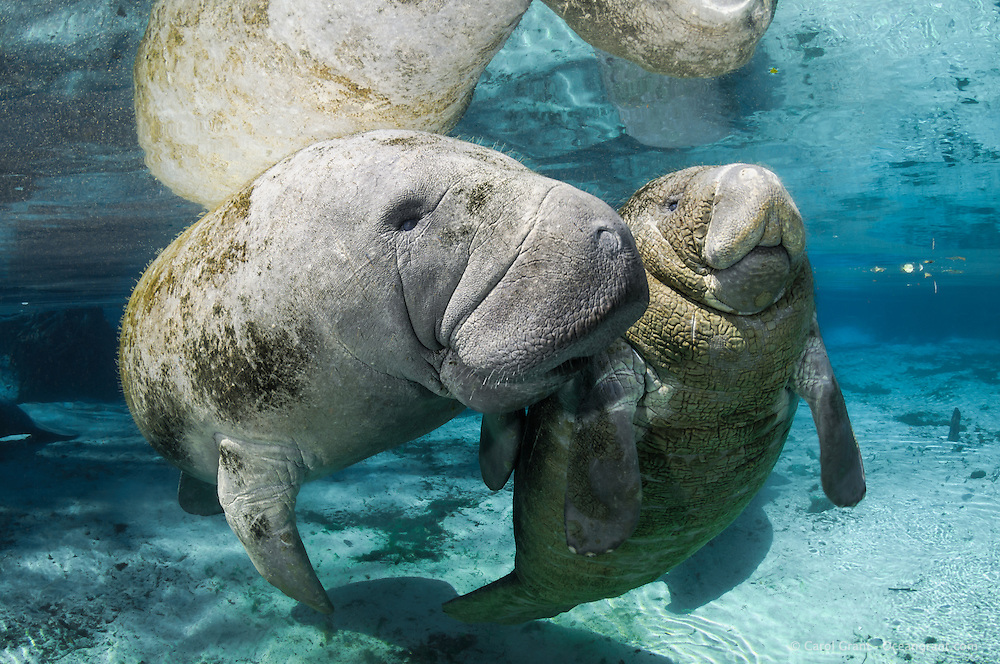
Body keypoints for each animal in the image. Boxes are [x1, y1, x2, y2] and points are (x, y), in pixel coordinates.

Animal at [119, 130, 648, 612]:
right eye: (408, 219)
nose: (613, 233)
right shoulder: (249, 443)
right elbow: (260, 522)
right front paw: (323, 610)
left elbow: (503, 407)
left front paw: (495, 472)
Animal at [446, 162, 868, 624]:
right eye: (673, 203)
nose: (755, 172)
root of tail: (529, 588)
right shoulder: (611, 363)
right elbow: (605, 443)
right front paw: (594, 539)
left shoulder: (810, 345)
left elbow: (833, 409)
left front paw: (848, 493)